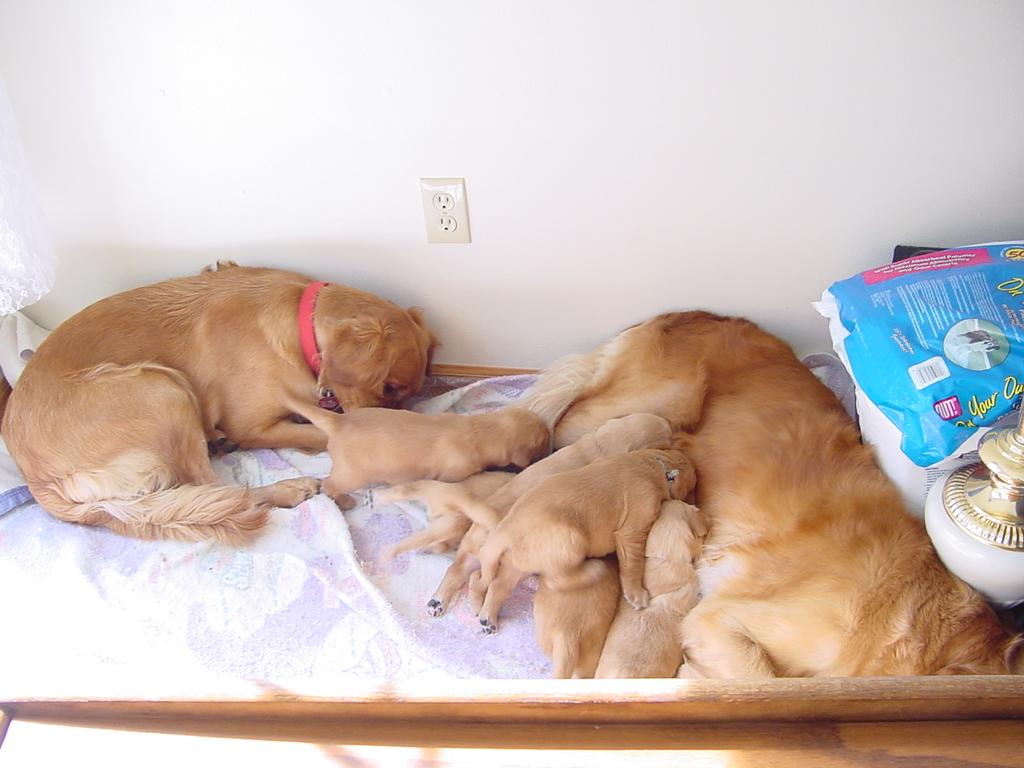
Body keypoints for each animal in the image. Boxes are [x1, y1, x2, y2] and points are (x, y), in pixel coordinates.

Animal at [0, 264, 434, 548]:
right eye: (390, 386)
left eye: (407, 391)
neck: (299, 326)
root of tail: (39, 482)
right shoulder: (253, 427)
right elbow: (321, 432)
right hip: (162, 388)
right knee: (214, 488)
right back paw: (291, 488)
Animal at [280, 399, 552, 514]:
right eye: (542, 444)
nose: (550, 450)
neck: (479, 431)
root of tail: (338, 421)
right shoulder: (452, 474)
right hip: (352, 475)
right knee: (328, 484)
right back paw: (345, 502)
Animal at [471, 444, 696, 630]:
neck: (657, 464)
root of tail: (502, 534)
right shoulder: (632, 531)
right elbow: (633, 565)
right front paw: (637, 595)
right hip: (570, 542)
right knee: (553, 580)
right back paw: (594, 569)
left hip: (519, 564)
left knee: (498, 585)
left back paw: (488, 618)